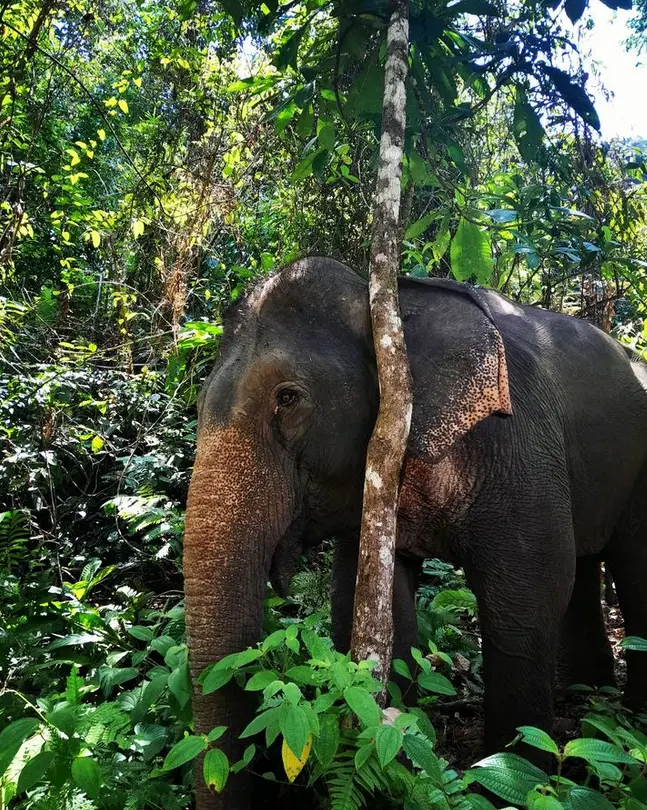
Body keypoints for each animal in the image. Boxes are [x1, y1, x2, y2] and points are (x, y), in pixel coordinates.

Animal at [184, 256, 647, 804]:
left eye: (288, 398)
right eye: (197, 404)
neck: (394, 305)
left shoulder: (519, 445)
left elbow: (526, 597)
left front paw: (512, 780)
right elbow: (370, 605)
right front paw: (402, 758)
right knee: (585, 566)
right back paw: (585, 696)